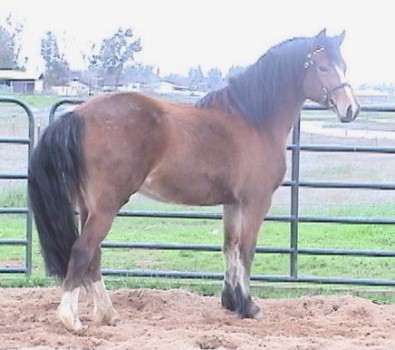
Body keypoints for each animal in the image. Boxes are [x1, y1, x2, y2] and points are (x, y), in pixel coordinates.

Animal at [28, 29, 362, 330]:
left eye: (344, 65)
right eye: (323, 67)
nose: (351, 109)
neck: (254, 120)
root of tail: (80, 114)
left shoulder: (232, 203)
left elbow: (230, 248)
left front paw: (231, 302)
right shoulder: (255, 201)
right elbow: (247, 250)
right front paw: (249, 306)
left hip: (90, 206)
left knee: (93, 254)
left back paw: (107, 314)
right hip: (107, 205)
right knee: (83, 250)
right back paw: (71, 319)